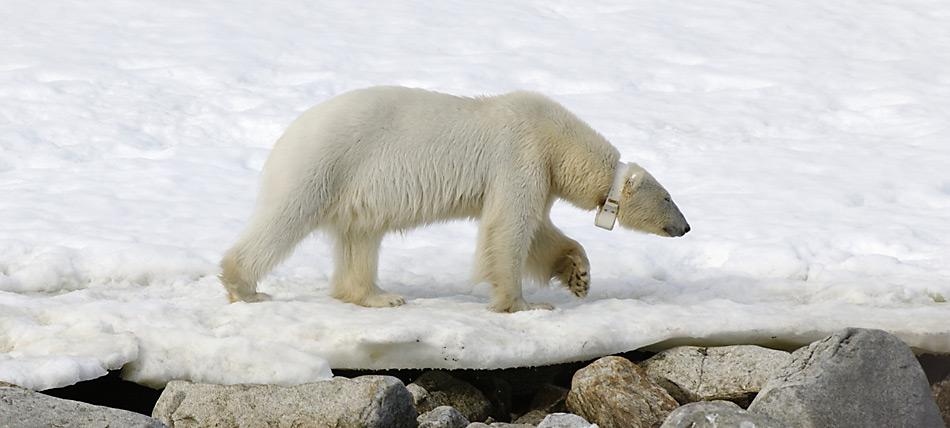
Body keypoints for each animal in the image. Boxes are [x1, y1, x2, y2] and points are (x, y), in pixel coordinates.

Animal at [220, 86, 689, 312]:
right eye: (668, 197)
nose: (686, 227)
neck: (559, 141)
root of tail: (289, 133)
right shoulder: (522, 155)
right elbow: (509, 228)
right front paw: (523, 304)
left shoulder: (541, 172)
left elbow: (538, 229)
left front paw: (579, 275)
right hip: (327, 162)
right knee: (286, 218)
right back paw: (243, 286)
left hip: (355, 187)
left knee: (361, 236)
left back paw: (380, 296)